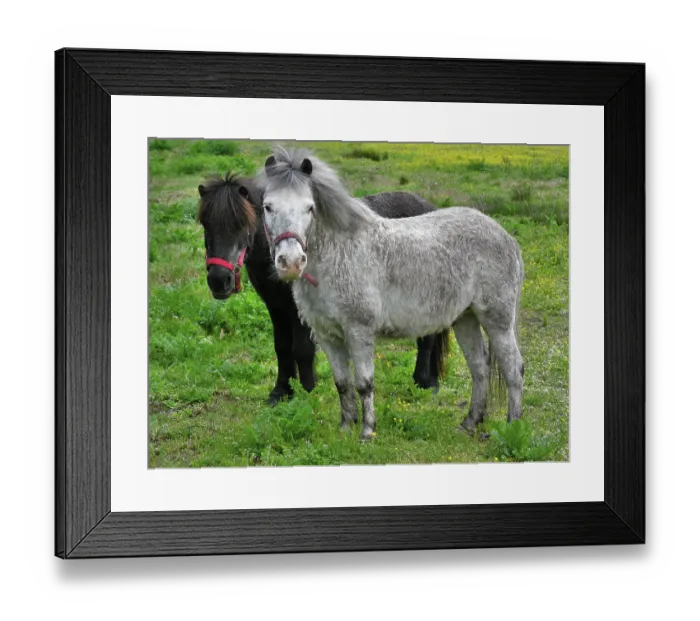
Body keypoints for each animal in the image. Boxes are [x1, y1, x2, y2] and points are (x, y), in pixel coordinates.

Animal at [196, 172, 450, 405]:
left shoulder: (300, 310)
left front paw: (308, 392)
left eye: (241, 223)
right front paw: (281, 391)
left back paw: (424, 382)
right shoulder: (275, 307)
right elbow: (282, 347)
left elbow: (302, 350)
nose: (219, 280)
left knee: (427, 337)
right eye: (205, 224)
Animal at [260, 148, 525, 440]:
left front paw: (367, 431)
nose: (291, 262)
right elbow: (342, 383)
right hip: (465, 319)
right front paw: (345, 428)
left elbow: (364, 383)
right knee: (479, 368)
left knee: (513, 368)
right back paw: (469, 422)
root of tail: (506, 237)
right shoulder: (327, 336)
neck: (339, 255)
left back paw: (513, 426)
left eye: (309, 207)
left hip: (497, 321)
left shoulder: (358, 330)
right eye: (267, 206)